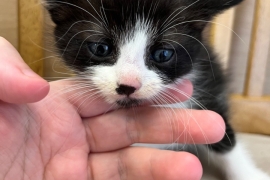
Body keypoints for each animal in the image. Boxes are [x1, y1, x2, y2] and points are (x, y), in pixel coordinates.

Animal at [44, 0, 270, 179]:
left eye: (163, 54)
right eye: (100, 48)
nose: (128, 85)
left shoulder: (209, 84)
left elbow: (223, 135)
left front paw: (249, 174)